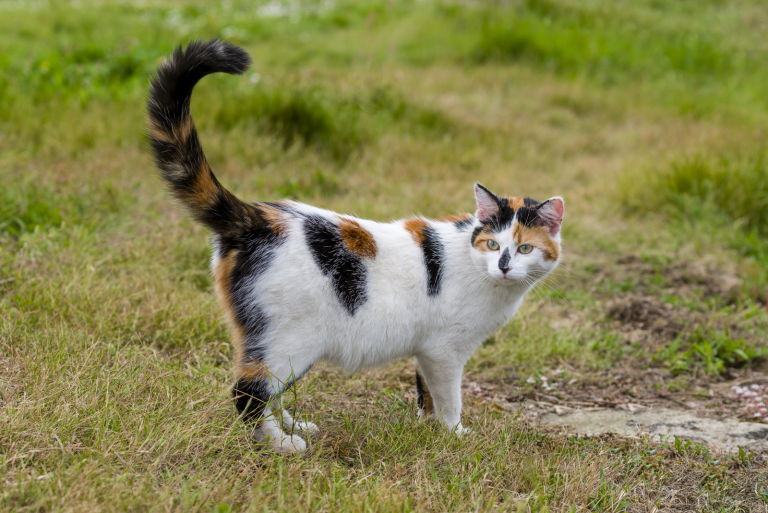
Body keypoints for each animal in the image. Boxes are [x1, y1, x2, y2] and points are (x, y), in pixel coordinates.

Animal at [147, 40, 564, 452]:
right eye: (493, 244)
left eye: (524, 249)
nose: (505, 265)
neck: (478, 267)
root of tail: (257, 217)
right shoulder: (445, 350)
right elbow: (449, 397)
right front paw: (455, 434)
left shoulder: (427, 350)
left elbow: (425, 392)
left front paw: (428, 428)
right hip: (289, 339)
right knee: (249, 391)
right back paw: (280, 443)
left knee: (268, 392)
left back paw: (291, 424)